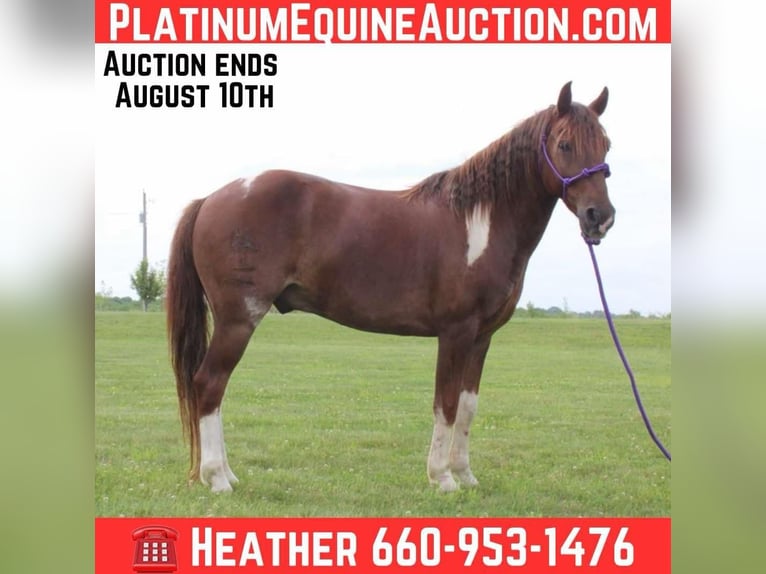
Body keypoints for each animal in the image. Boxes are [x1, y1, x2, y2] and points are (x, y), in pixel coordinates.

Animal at [166, 82, 615, 493]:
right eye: (565, 144)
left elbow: (467, 407)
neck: (481, 222)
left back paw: (227, 475)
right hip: (238, 319)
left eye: (606, 144)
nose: (600, 216)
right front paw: (442, 479)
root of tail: (211, 199)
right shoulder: (456, 332)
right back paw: (217, 478)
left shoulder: (482, 337)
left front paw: (465, 475)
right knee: (210, 384)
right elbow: (445, 404)